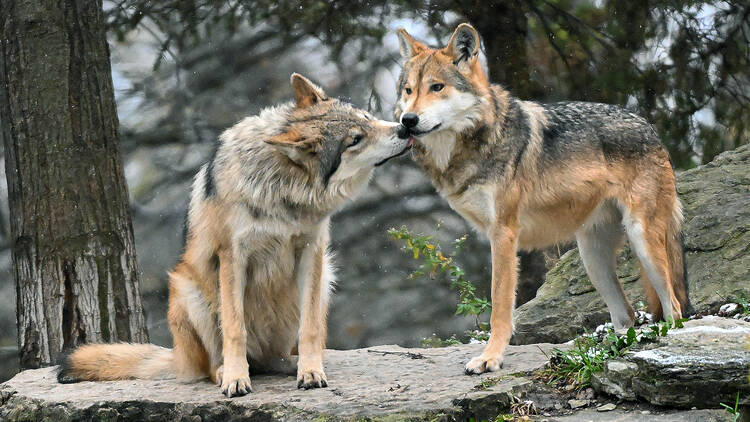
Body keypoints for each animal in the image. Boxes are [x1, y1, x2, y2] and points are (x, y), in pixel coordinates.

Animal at [56, 73, 414, 396]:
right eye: (355, 139)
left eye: (367, 118)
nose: (405, 126)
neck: (281, 189)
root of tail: (178, 359)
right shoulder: (232, 257)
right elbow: (234, 328)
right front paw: (236, 378)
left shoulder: (313, 251)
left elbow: (311, 328)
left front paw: (311, 371)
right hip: (188, 291)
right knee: (212, 364)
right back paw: (224, 372)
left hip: (326, 278)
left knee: (277, 355)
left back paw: (290, 365)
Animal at [396, 23, 692, 372]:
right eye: (408, 90)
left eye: (437, 87)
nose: (407, 121)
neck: (478, 140)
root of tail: (650, 128)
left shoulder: (504, 235)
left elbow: (500, 305)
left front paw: (490, 358)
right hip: (593, 258)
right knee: (627, 316)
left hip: (642, 241)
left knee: (673, 307)